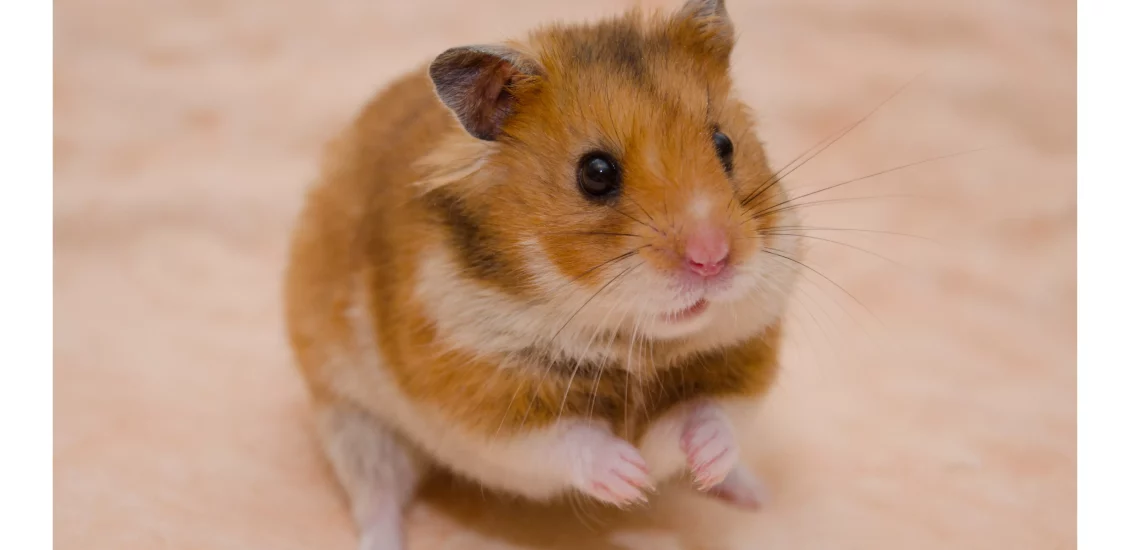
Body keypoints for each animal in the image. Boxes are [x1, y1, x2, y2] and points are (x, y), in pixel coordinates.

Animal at [283, 0, 799, 548]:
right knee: (377, 494)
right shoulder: (480, 398)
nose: (713, 259)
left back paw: (751, 493)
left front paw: (700, 463)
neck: (634, 341)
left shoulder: (740, 360)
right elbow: (569, 438)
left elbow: (707, 415)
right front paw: (631, 478)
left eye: (724, 145)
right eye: (596, 173)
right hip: (353, 420)